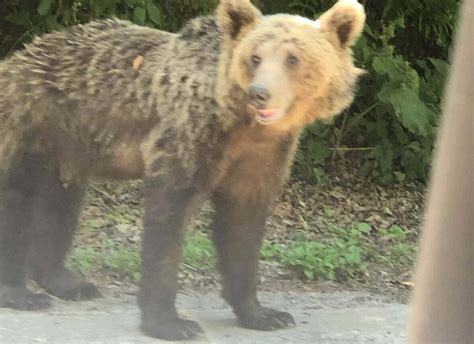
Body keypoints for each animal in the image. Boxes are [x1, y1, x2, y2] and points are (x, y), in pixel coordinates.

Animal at [0, 0, 366, 340]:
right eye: (255, 57)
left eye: (293, 58)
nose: (260, 94)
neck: (240, 124)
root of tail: (14, 60)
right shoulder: (190, 134)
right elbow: (169, 217)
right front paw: (171, 322)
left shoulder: (261, 155)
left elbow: (243, 226)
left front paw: (264, 314)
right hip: (29, 127)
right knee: (18, 204)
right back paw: (20, 293)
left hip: (66, 144)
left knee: (60, 204)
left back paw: (66, 281)